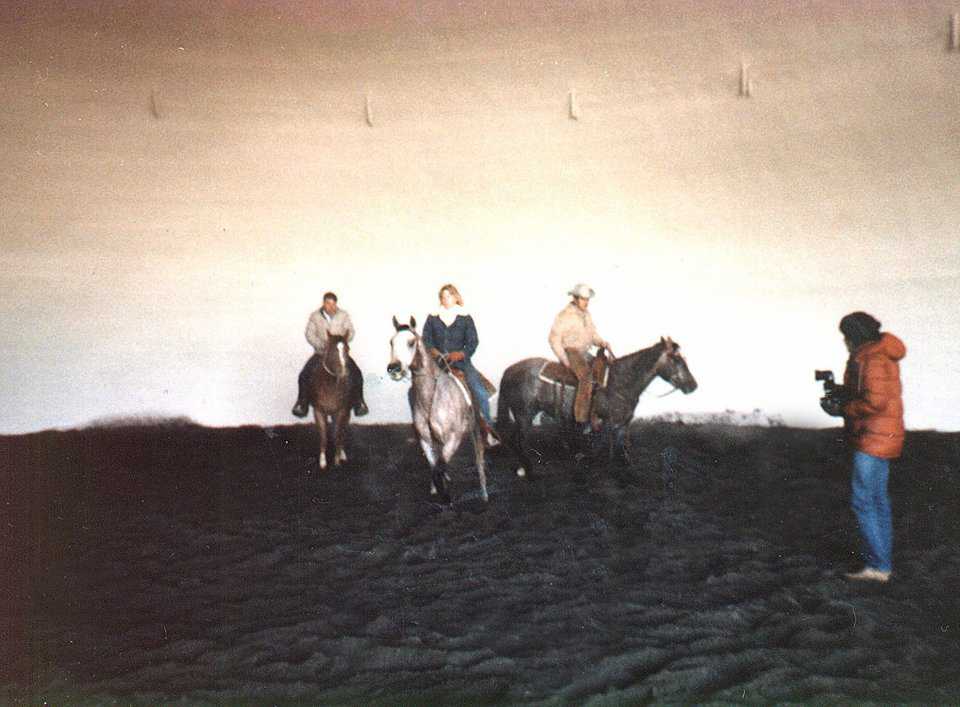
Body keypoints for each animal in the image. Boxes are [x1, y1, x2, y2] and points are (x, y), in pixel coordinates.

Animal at [308, 334, 352, 472]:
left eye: (348, 349)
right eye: (332, 350)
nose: (344, 374)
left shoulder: (341, 412)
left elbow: (337, 434)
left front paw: (337, 461)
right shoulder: (318, 412)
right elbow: (324, 437)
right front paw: (323, 462)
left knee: (342, 432)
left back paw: (342, 454)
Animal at [386, 316, 488, 504]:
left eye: (411, 342)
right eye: (391, 342)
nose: (394, 368)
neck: (433, 398)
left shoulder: (453, 439)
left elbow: (440, 467)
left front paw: (446, 496)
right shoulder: (425, 440)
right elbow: (435, 466)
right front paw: (439, 489)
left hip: (475, 429)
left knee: (479, 458)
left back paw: (484, 493)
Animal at [496, 336, 696, 476]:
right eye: (676, 359)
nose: (693, 386)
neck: (619, 382)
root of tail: (509, 370)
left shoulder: (622, 424)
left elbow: (622, 450)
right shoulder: (609, 422)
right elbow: (602, 447)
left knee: (514, 438)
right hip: (524, 414)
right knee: (520, 439)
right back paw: (527, 468)